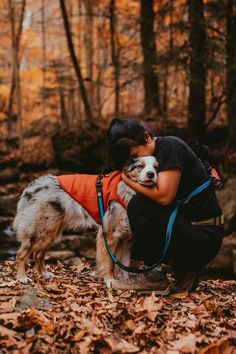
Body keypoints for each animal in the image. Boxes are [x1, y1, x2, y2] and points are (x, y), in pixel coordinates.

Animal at [14, 156, 159, 284]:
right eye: (140, 166)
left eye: (156, 167)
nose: (151, 174)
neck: (129, 190)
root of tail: (32, 186)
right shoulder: (110, 234)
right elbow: (110, 262)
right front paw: (110, 280)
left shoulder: (126, 237)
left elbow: (124, 264)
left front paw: (126, 281)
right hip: (41, 228)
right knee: (21, 254)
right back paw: (22, 277)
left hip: (51, 231)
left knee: (38, 254)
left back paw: (44, 274)